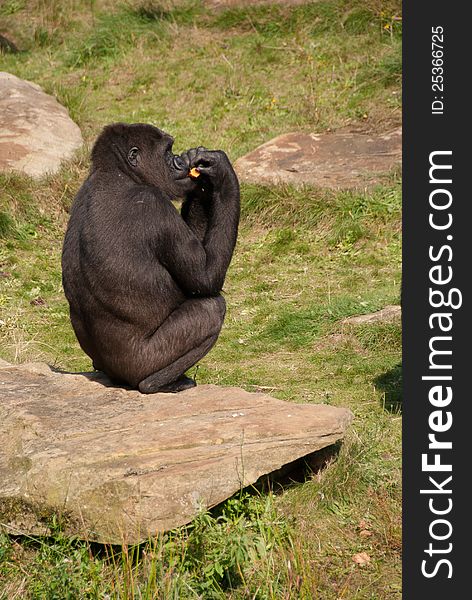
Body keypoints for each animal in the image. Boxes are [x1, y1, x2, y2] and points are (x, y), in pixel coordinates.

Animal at [61, 122, 240, 394]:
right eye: (167, 152)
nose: (180, 161)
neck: (118, 173)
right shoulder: (155, 205)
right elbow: (205, 280)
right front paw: (221, 171)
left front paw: (202, 180)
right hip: (145, 363)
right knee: (211, 309)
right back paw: (159, 382)